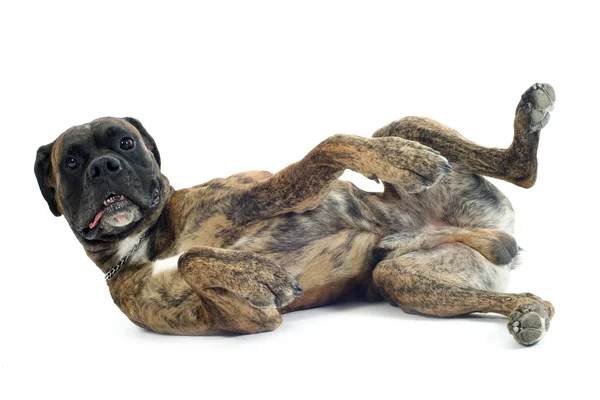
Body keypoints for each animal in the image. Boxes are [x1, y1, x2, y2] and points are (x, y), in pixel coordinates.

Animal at [35, 83, 556, 346]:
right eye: (71, 162)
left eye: (126, 142)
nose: (104, 166)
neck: (145, 240)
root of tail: (494, 229)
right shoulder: (244, 318)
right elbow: (194, 259)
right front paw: (259, 273)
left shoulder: (260, 196)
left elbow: (331, 144)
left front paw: (405, 161)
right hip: (404, 279)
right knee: (532, 293)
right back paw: (524, 308)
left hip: (403, 129)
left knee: (518, 170)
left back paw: (525, 116)